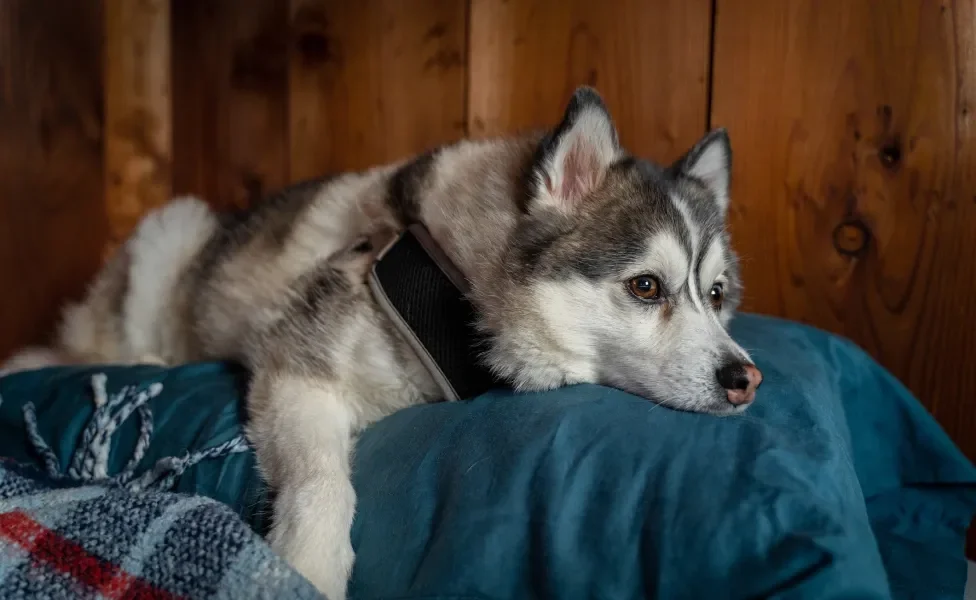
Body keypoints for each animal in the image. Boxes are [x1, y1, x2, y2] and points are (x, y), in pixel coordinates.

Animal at [0, 86, 764, 596]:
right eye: (646, 287)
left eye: (716, 295)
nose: (745, 379)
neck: (457, 284)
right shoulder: (295, 369)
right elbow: (321, 481)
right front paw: (305, 565)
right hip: (171, 235)